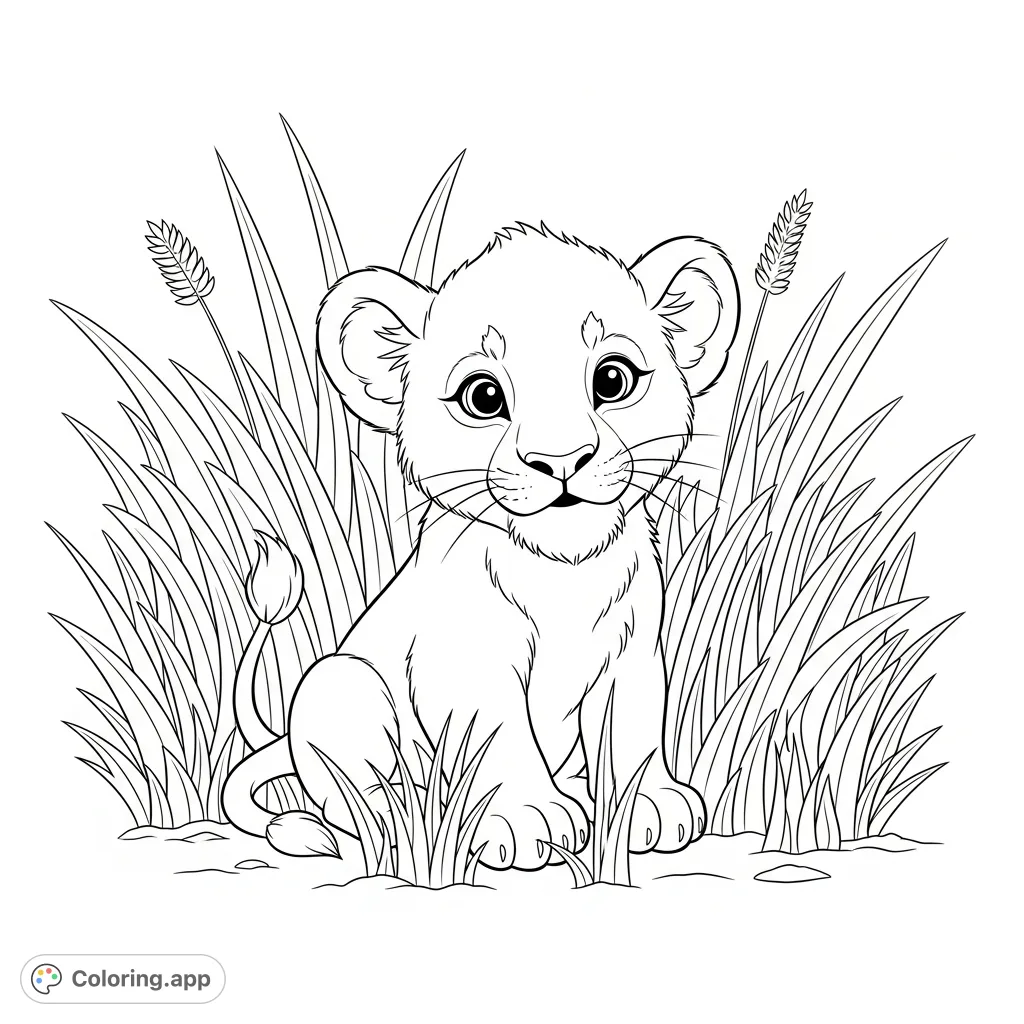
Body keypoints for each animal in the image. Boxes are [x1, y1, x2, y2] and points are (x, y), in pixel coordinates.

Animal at [223, 223, 739, 869]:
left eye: (612, 379)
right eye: (484, 397)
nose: (560, 460)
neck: (563, 573)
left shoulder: (632, 653)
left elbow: (633, 729)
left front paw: (648, 804)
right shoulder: (469, 660)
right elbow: (498, 732)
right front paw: (528, 819)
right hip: (337, 682)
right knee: (356, 801)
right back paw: (359, 824)